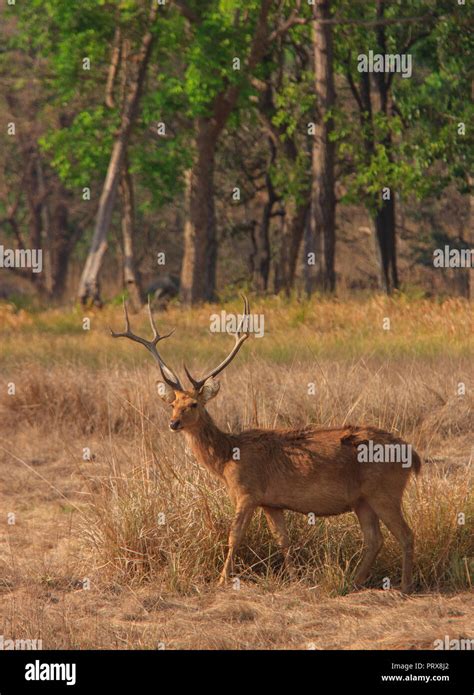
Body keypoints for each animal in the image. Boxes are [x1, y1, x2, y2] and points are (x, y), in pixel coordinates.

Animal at [112, 296, 422, 596]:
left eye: (194, 404)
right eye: (172, 404)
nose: (174, 423)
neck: (227, 457)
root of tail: (412, 454)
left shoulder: (247, 492)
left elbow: (234, 535)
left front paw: (222, 579)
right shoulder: (272, 502)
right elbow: (283, 539)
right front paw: (295, 577)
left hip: (384, 490)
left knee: (406, 534)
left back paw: (404, 586)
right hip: (362, 499)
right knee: (374, 539)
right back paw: (352, 583)